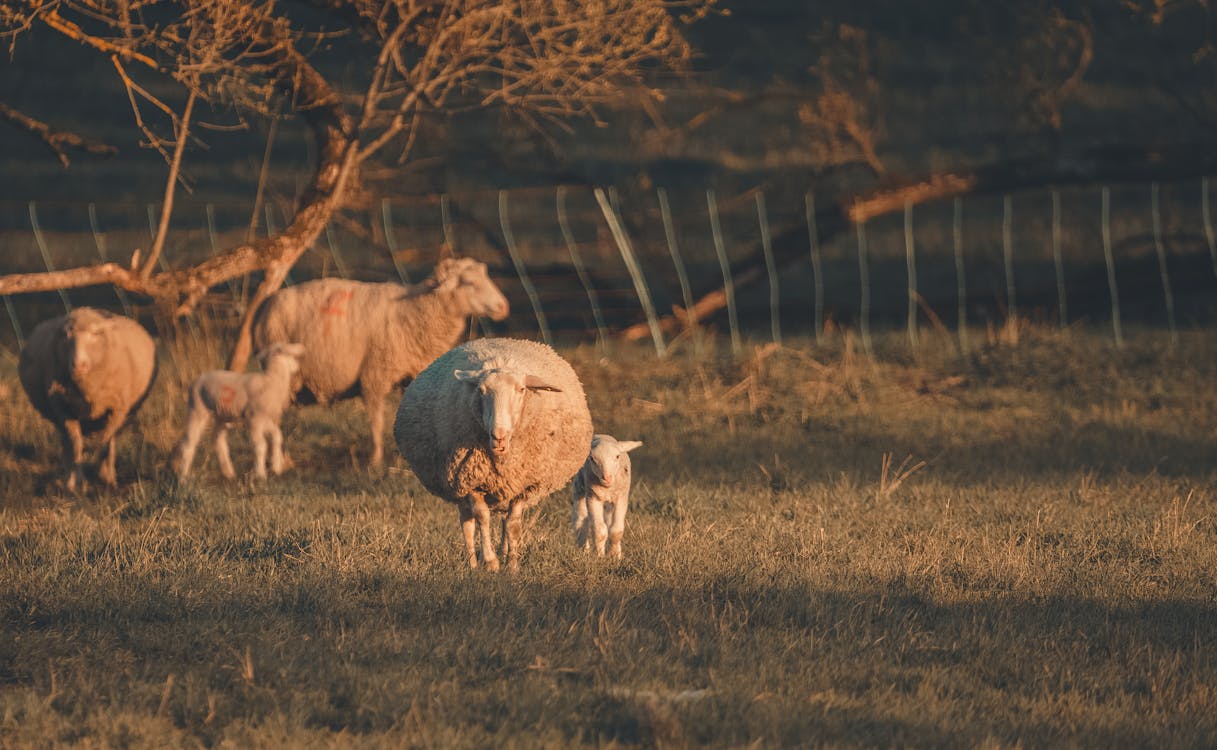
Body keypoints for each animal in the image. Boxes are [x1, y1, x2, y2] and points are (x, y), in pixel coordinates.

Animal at [16, 308, 158, 489]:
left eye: (96, 333)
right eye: (66, 335)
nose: (78, 365)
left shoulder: (117, 410)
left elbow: (105, 442)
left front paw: (104, 478)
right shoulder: (62, 409)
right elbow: (76, 445)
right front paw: (76, 483)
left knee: (109, 441)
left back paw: (107, 474)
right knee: (67, 444)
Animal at [176, 343, 309, 479]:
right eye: (291, 354)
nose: (297, 367)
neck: (271, 381)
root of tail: (196, 381)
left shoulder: (264, 417)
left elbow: (277, 436)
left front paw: (276, 467)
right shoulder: (254, 418)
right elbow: (260, 446)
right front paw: (260, 474)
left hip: (221, 414)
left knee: (218, 440)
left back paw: (229, 473)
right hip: (197, 408)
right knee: (188, 443)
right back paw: (184, 477)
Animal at [251, 258, 508, 467]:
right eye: (469, 283)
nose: (504, 307)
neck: (415, 310)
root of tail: (264, 307)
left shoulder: (412, 375)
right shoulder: (374, 373)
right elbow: (377, 420)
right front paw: (376, 460)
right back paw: (283, 460)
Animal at [394, 336, 593, 572]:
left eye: (522, 389)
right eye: (481, 390)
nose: (499, 435)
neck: (503, 458)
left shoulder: (523, 485)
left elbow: (513, 525)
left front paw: (512, 564)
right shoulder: (470, 480)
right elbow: (482, 518)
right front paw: (490, 561)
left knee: (504, 522)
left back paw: (503, 552)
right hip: (458, 487)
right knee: (467, 524)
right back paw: (473, 563)